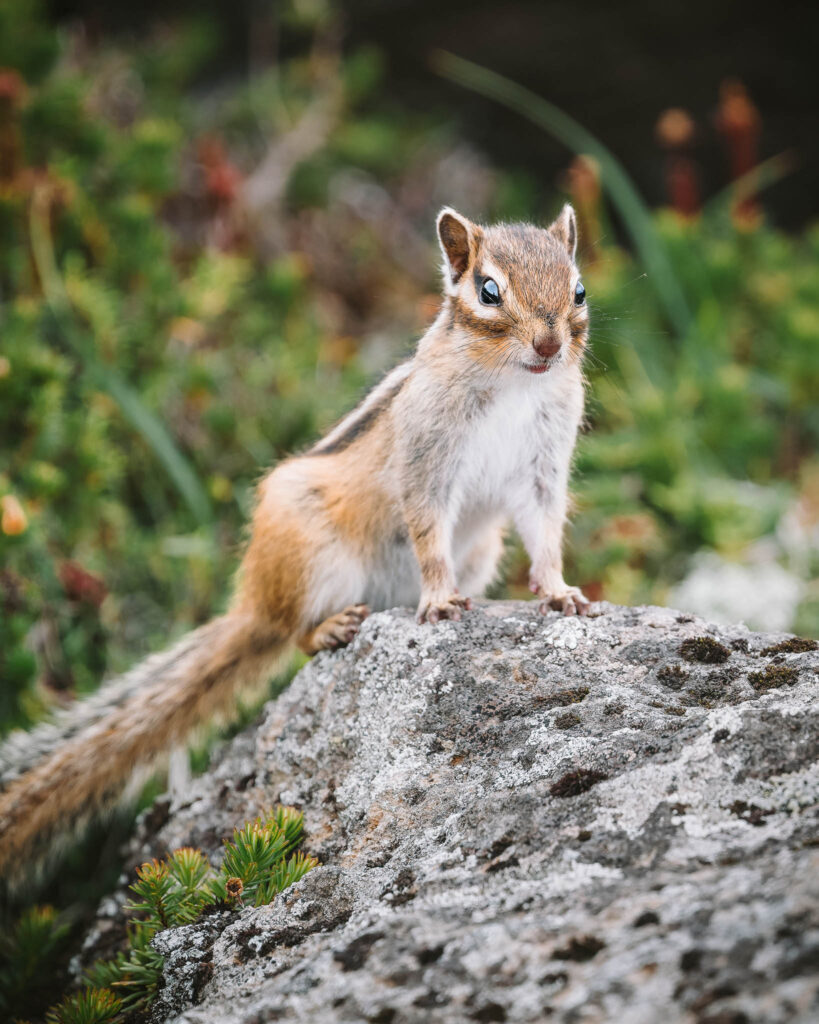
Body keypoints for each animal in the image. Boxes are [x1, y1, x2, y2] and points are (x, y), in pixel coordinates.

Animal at [0, 204, 591, 880]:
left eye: (577, 290)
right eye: (488, 291)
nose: (549, 345)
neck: (517, 384)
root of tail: (256, 602)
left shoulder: (545, 467)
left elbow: (545, 532)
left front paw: (559, 591)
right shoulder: (426, 461)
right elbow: (427, 530)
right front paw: (439, 599)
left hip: (482, 550)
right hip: (314, 559)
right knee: (292, 636)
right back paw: (330, 628)